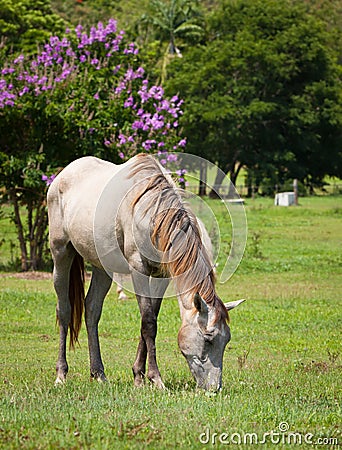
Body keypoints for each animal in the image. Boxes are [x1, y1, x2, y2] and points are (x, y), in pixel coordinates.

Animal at [48, 155, 244, 390]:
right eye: (208, 339)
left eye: (227, 340)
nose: (214, 388)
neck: (150, 214)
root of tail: (63, 174)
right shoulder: (138, 270)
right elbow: (149, 323)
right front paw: (155, 378)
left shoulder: (161, 276)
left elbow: (149, 320)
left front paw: (138, 375)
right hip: (61, 253)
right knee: (64, 310)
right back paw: (61, 374)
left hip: (102, 267)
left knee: (92, 310)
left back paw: (98, 373)